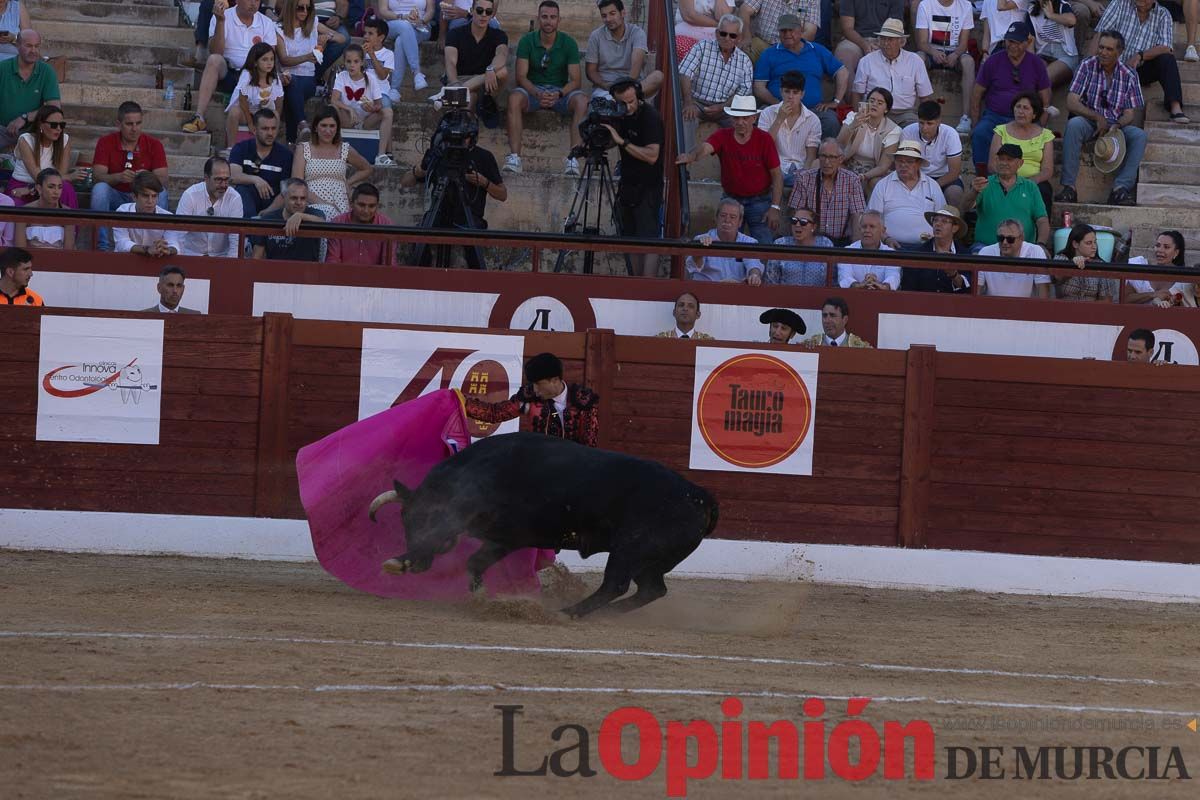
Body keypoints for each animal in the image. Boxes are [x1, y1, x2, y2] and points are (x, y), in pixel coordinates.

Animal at [369, 434, 715, 618]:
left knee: (615, 584)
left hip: (630, 549)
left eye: (425, 518)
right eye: (404, 519)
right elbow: (474, 562)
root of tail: (698, 494)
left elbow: (455, 546)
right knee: (651, 589)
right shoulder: (503, 539)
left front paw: (395, 562)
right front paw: (481, 598)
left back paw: (568, 613)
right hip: (650, 560)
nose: (417, 564)